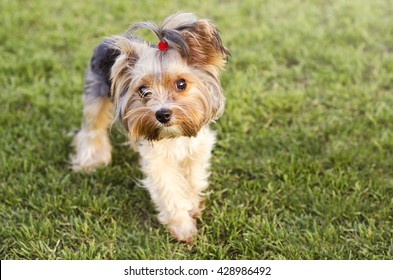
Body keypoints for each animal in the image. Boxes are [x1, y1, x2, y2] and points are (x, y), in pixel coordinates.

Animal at [72, 12, 228, 243]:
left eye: (181, 84)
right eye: (143, 90)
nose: (162, 114)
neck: (174, 135)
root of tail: (104, 42)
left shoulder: (196, 148)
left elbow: (193, 179)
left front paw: (192, 206)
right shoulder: (158, 161)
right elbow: (169, 191)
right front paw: (183, 228)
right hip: (95, 94)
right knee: (92, 128)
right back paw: (91, 161)